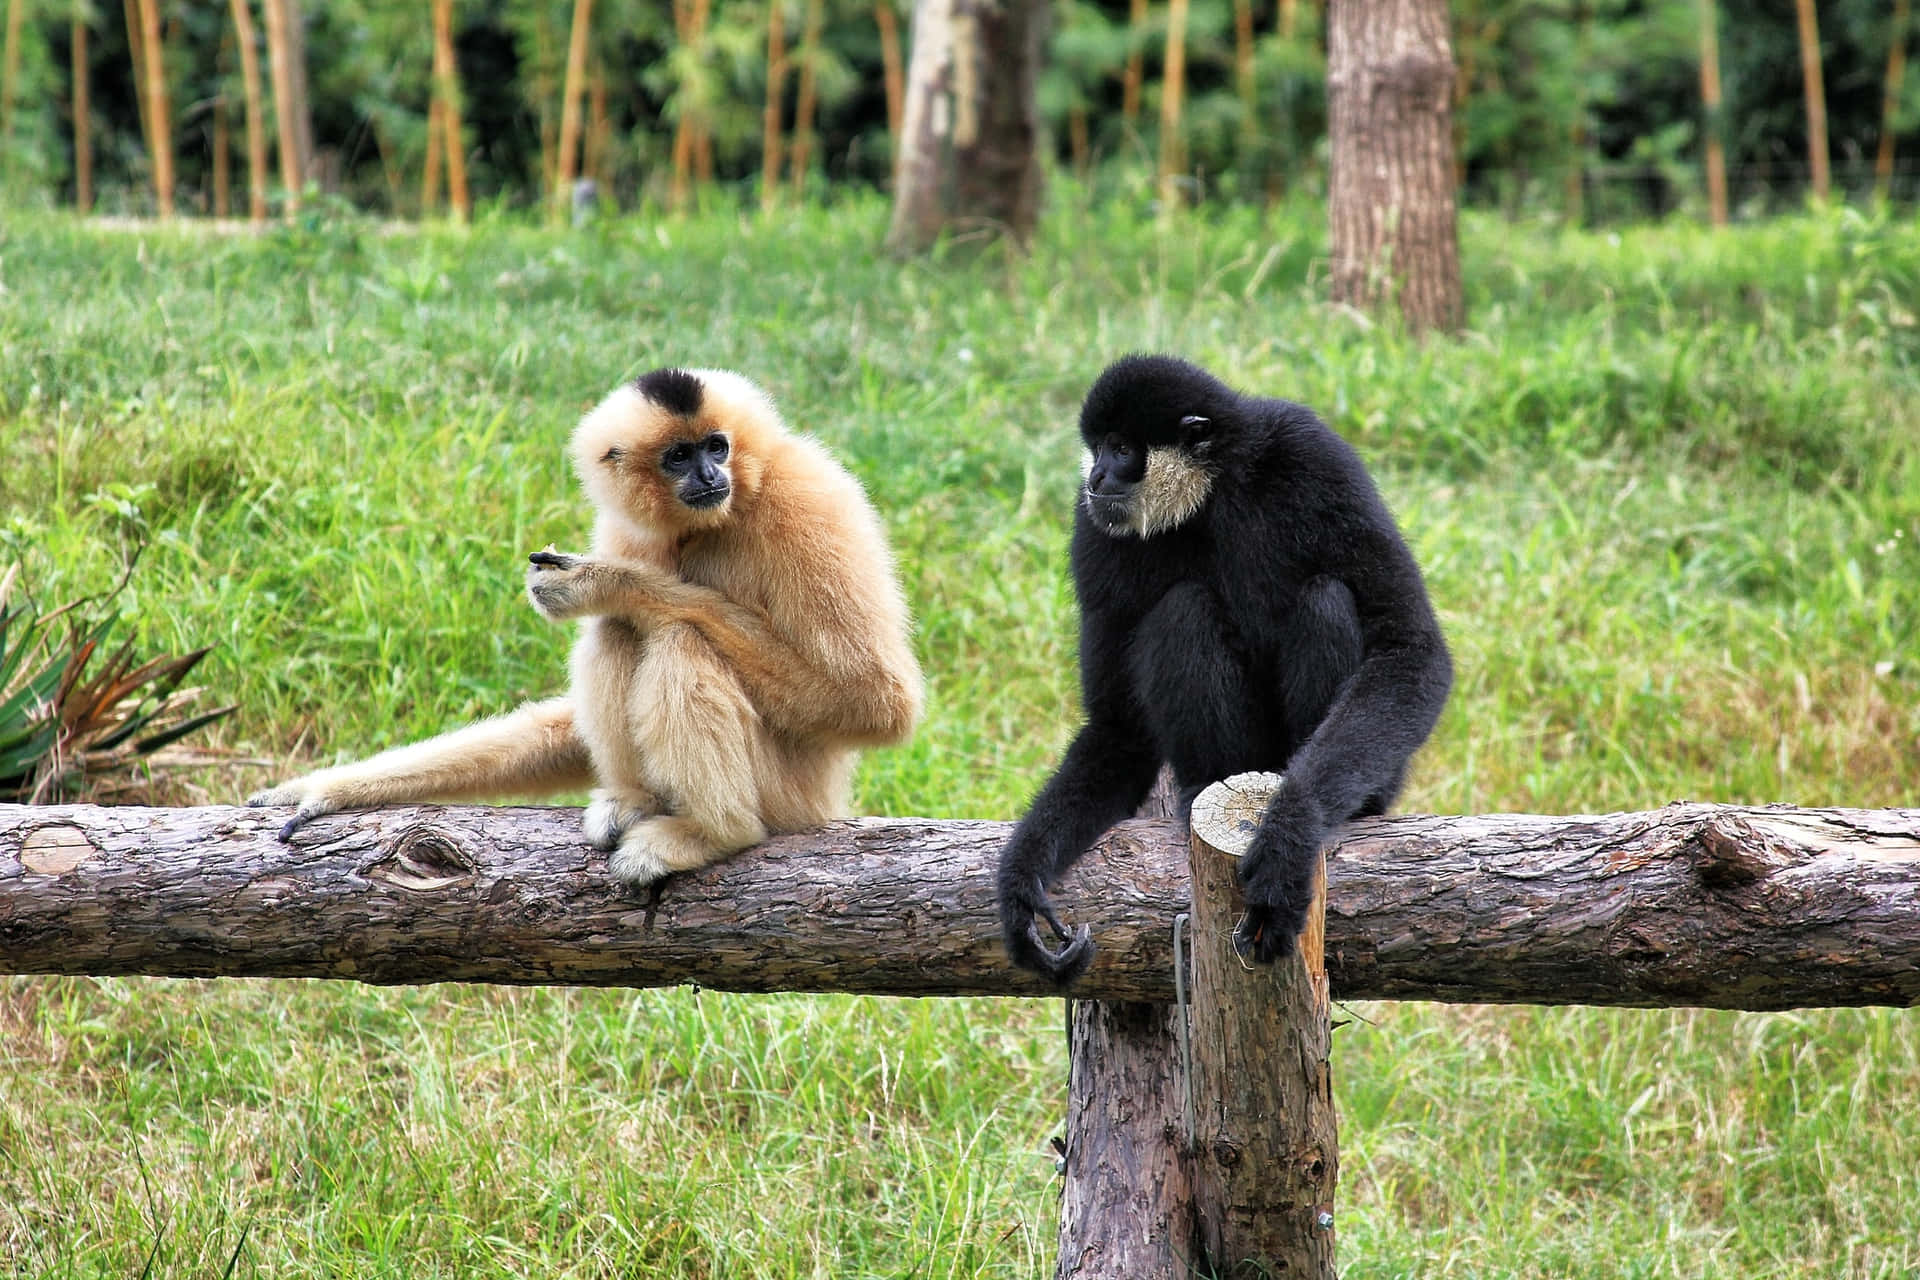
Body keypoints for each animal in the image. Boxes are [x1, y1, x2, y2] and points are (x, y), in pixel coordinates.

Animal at [249, 367, 924, 885]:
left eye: (717, 446)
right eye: (679, 456)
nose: (709, 476)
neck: (723, 516)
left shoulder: (810, 503)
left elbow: (873, 701)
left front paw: (609, 583)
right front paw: (328, 789)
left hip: (792, 796)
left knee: (678, 637)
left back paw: (714, 832)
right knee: (619, 633)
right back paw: (636, 800)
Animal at [996, 354, 1452, 983]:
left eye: (1119, 448)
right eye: (1097, 450)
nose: (1097, 478)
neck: (1213, 493)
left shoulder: (1313, 453)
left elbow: (1411, 648)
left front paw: (1289, 842)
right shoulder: (1093, 528)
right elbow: (1118, 730)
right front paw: (1023, 882)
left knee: (1326, 596)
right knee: (1182, 608)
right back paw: (1201, 786)